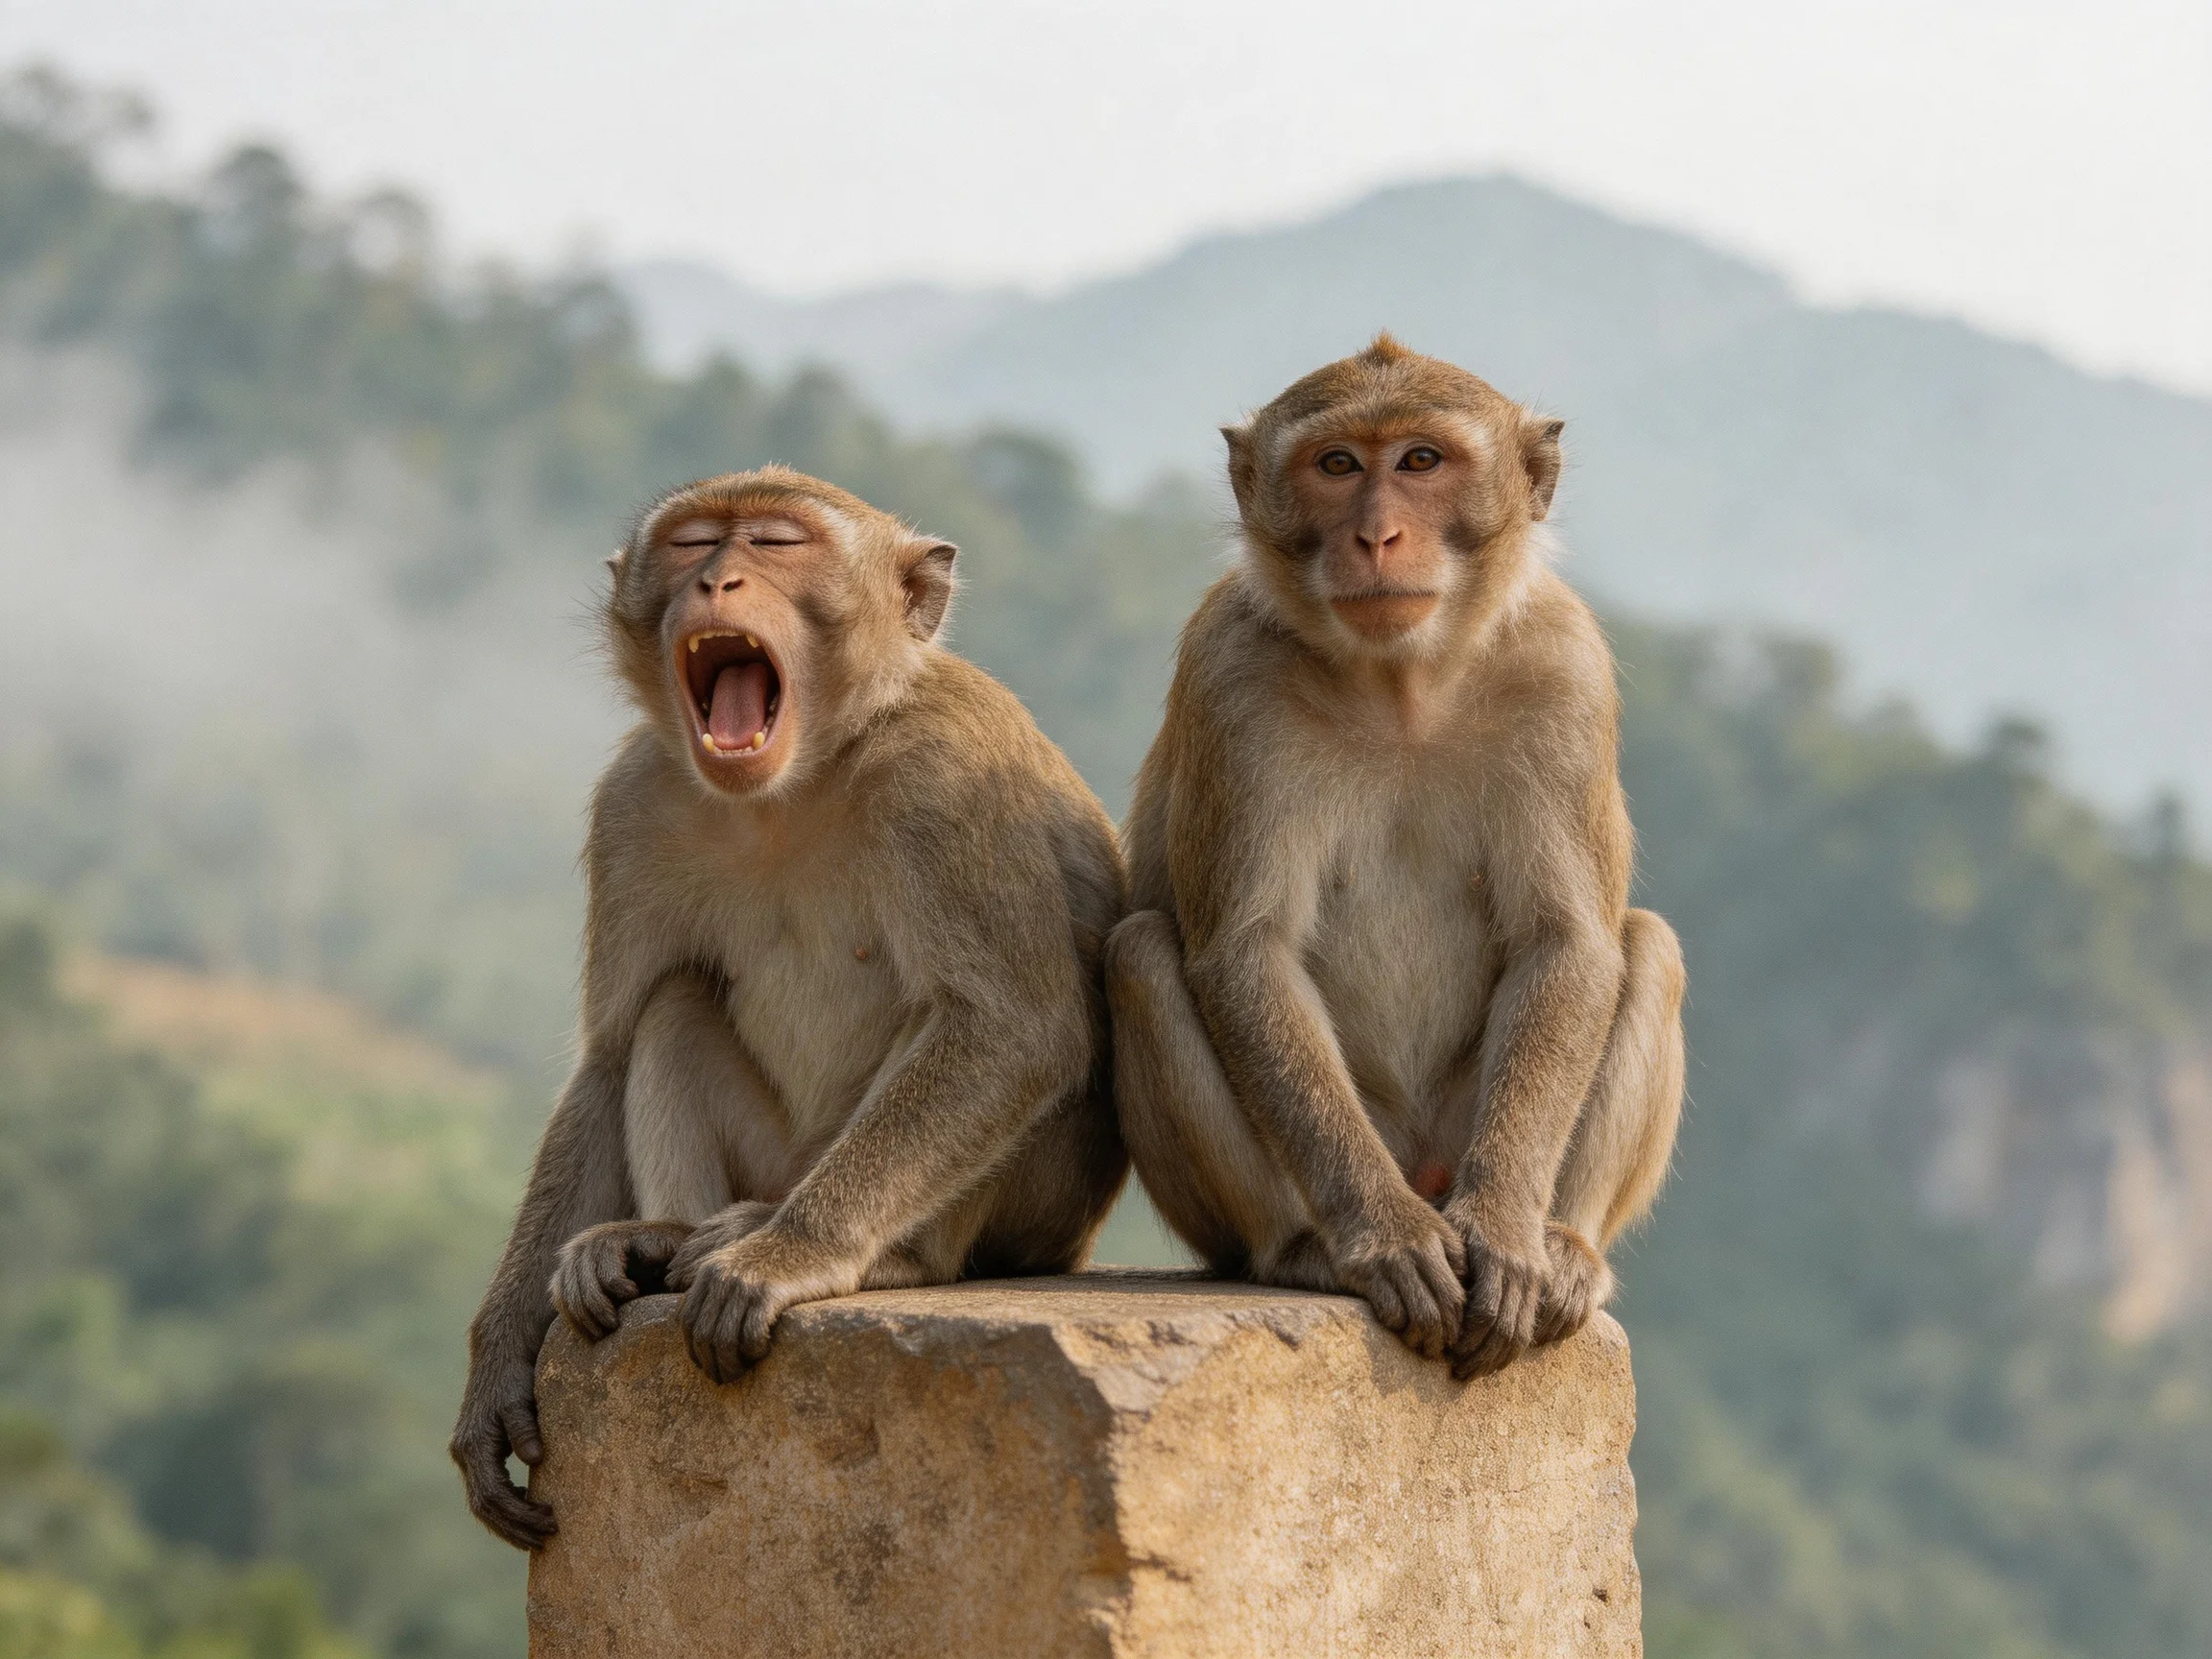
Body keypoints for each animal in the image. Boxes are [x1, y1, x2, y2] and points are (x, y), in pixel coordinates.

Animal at [451, 466, 1128, 1550]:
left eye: (777, 542)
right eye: (692, 544)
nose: (717, 582)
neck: (795, 780)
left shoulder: (949, 776)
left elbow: (1011, 1028)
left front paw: (792, 1258)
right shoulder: (634, 800)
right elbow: (610, 1054)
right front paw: (499, 1363)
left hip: (1022, 1205)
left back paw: (873, 1252)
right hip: (776, 1151)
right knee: (674, 1003)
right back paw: (658, 1241)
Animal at [1106, 334, 1684, 1382]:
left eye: (1421, 460)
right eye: (1337, 465)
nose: (1377, 537)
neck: (1403, 682)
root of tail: (1421, 1161)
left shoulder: (1565, 667)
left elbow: (1567, 942)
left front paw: (1504, 1234)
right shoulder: (1228, 676)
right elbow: (1244, 954)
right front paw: (1384, 1237)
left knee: (1646, 946)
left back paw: (1566, 1250)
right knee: (1143, 955)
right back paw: (1304, 1248)